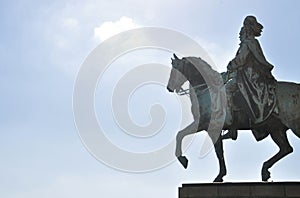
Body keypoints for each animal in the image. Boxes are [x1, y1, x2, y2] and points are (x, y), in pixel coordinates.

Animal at [166, 53, 300, 182]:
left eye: (176, 68)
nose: (169, 87)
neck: (208, 91)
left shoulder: (206, 125)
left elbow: (183, 135)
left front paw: (184, 160)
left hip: (293, 126)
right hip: (276, 129)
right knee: (286, 149)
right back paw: (265, 171)